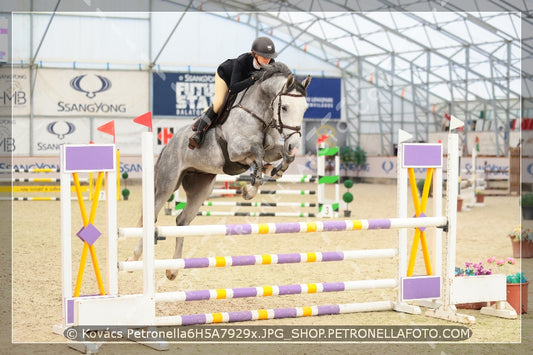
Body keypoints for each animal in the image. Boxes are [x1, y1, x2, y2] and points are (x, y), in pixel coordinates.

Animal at [130, 63, 312, 280]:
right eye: (284, 107)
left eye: (305, 108)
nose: (294, 144)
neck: (259, 114)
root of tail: (168, 144)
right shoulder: (236, 151)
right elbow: (256, 154)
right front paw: (249, 190)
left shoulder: (272, 149)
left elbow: (281, 157)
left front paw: (273, 170)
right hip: (168, 183)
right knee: (153, 215)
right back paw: (134, 258)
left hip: (201, 188)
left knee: (182, 220)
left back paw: (173, 269)